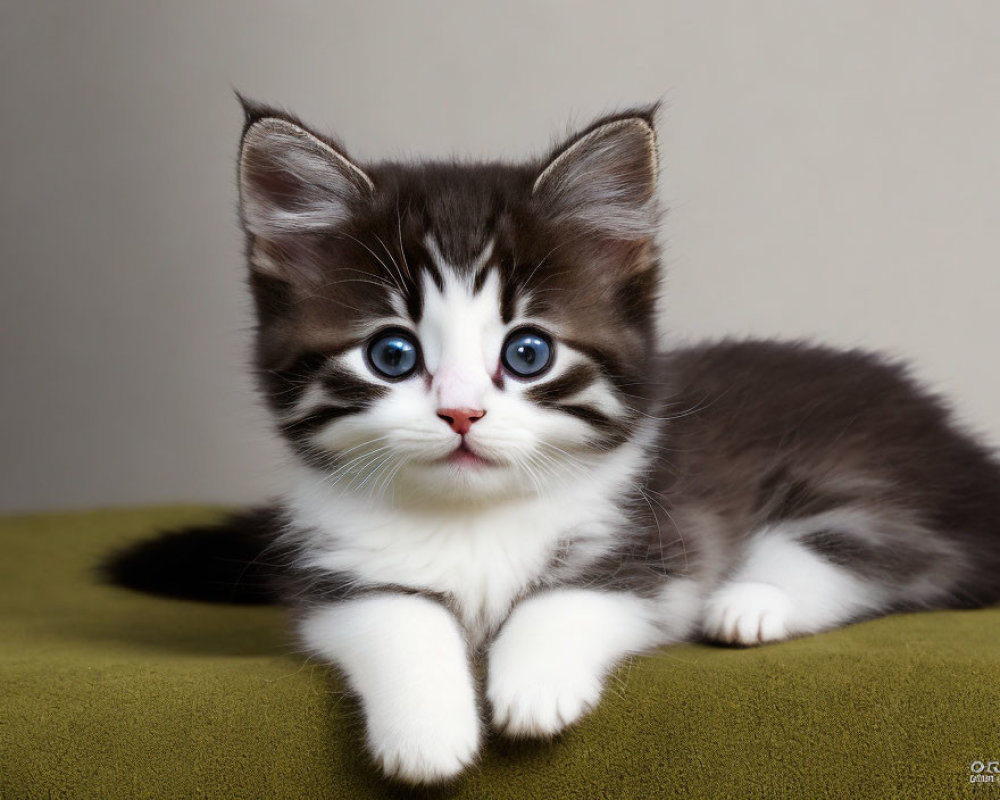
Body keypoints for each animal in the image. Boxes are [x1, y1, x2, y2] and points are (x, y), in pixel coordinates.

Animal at [105, 98, 1000, 780]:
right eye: (392, 354)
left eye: (527, 352)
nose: (462, 414)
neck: (473, 522)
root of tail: (954, 440)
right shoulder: (324, 573)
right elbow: (393, 613)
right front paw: (428, 731)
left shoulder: (657, 531)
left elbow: (579, 594)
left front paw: (532, 684)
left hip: (874, 474)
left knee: (879, 549)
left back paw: (751, 602)